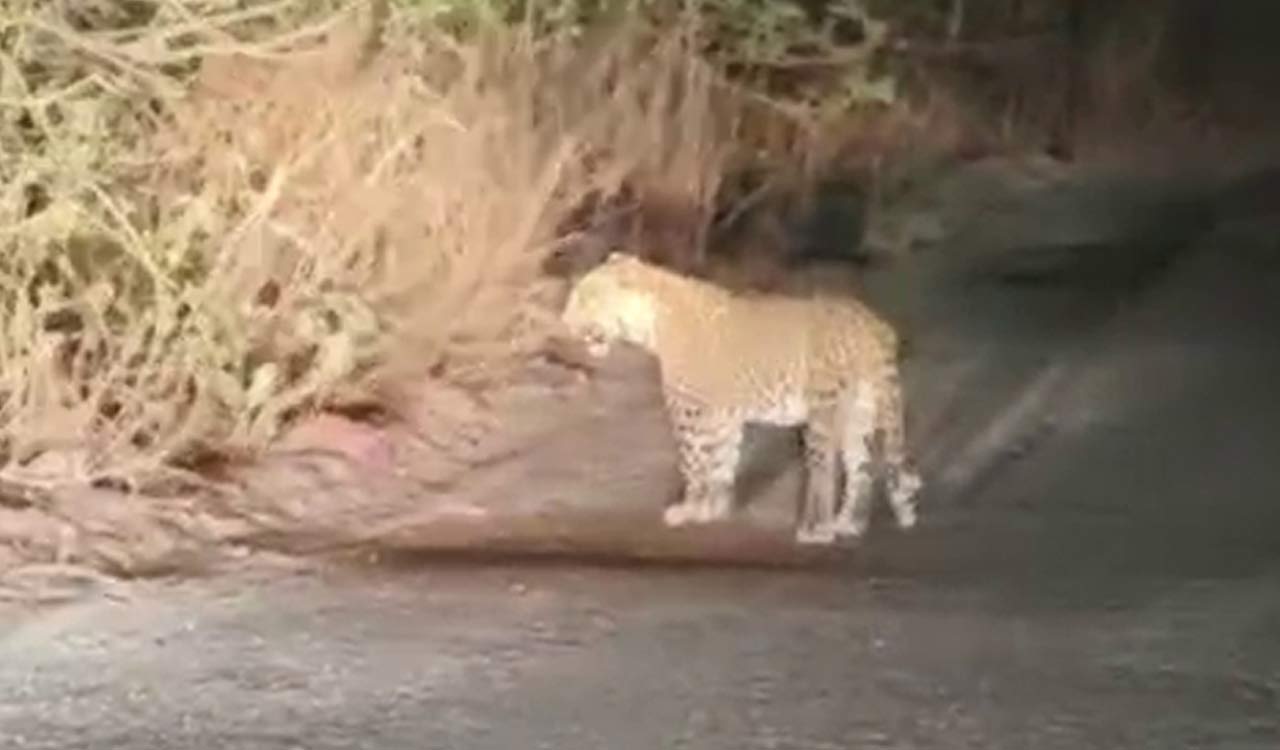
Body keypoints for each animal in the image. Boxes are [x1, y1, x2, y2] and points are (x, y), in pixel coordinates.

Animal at [560, 251, 923, 544]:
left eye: (586, 298)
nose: (564, 322)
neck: (651, 321)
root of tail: (870, 321)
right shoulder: (724, 415)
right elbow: (722, 461)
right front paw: (712, 510)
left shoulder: (690, 411)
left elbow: (694, 463)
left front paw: (689, 509)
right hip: (860, 410)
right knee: (861, 467)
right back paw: (848, 524)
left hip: (824, 410)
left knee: (825, 469)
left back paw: (817, 530)